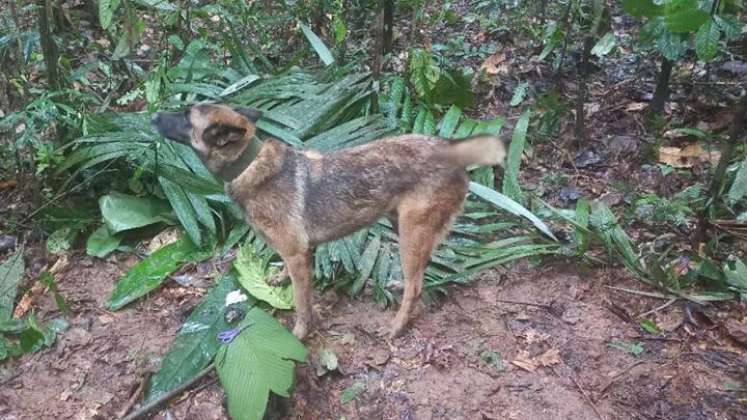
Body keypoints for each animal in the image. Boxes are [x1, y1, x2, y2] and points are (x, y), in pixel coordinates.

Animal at [150, 103, 508, 340]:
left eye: (185, 116)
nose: (152, 116)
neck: (249, 164)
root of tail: (450, 149)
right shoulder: (298, 254)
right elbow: (289, 277)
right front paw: (279, 278)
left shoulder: (298, 255)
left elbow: (301, 303)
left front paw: (299, 332)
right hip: (402, 226)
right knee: (420, 272)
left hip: (411, 231)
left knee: (417, 285)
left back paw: (396, 325)